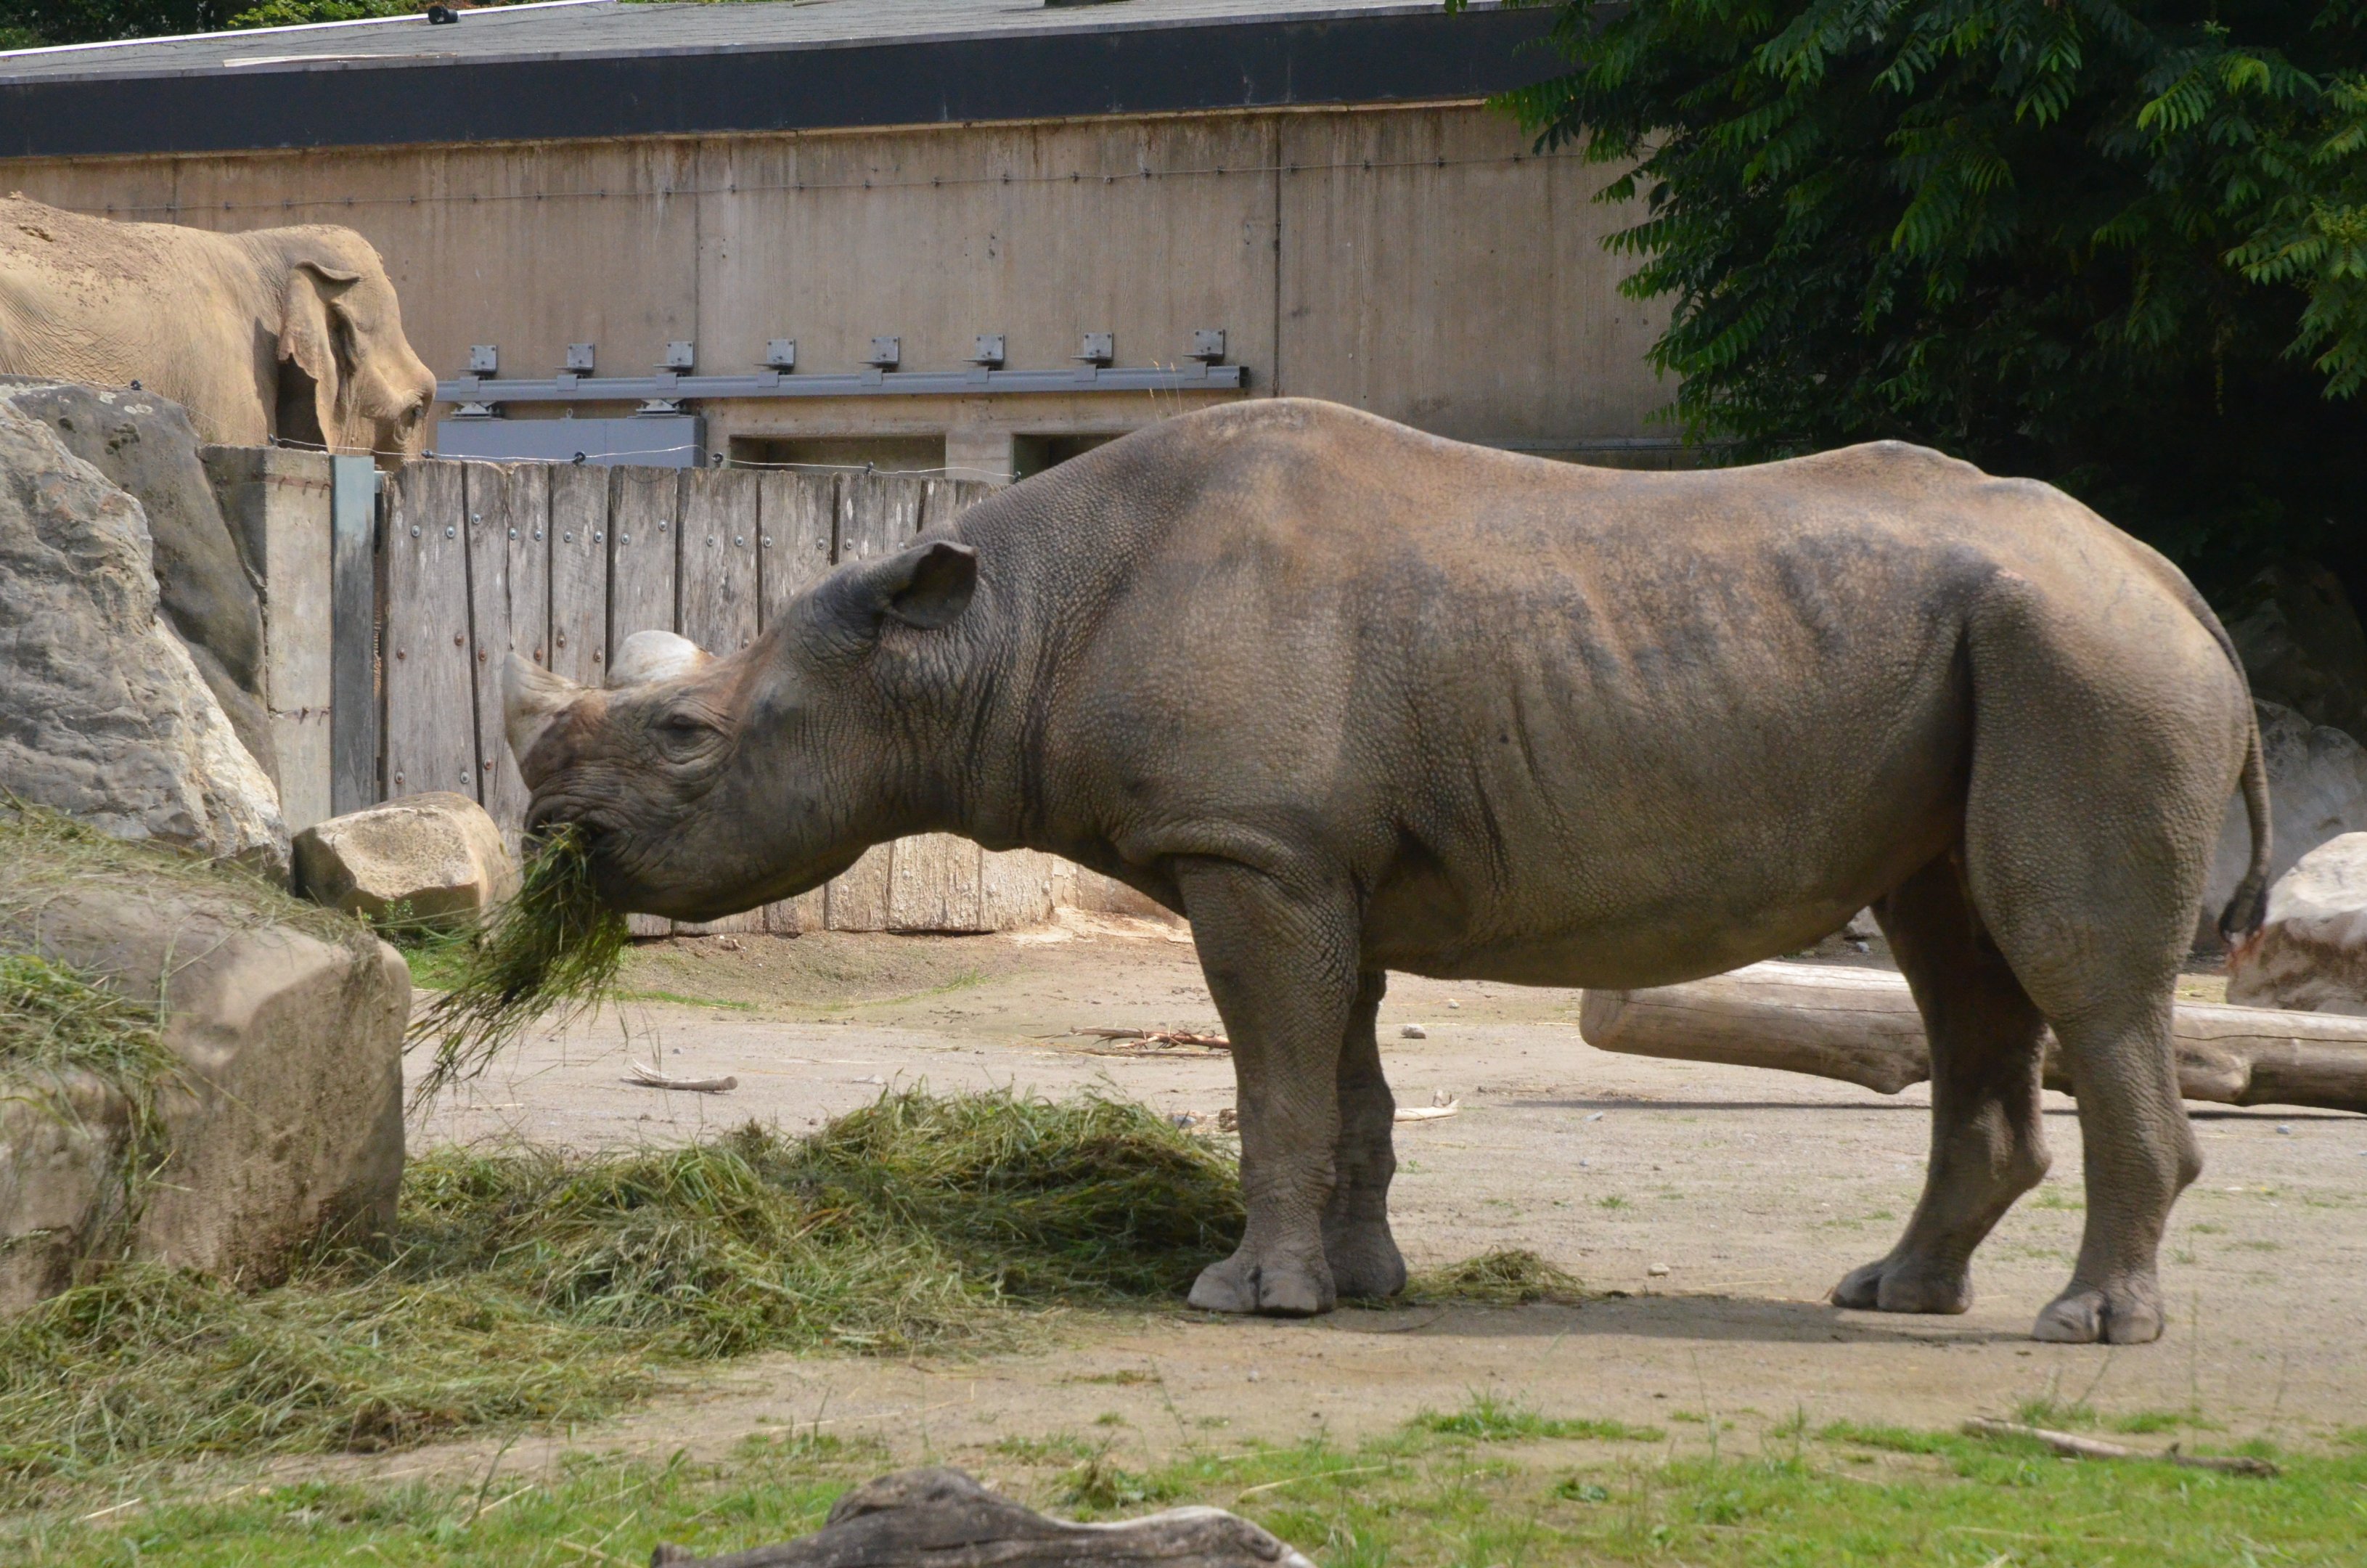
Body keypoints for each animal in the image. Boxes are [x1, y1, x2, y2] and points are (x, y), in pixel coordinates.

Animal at [508, 399, 2268, 1345]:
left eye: (682, 736)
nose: (545, 829)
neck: (987, 636)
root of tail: (2174, 582)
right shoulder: (1310, 860)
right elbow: (1340, 1076)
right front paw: (1358, 1287)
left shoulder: (1250, 848)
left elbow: (1272, 1077)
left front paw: (1242, 1299)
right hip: (2018, 658)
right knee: (1956, 957)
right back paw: (1890, 1296)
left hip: (2086, 668)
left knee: (2066, 965)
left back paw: (2084, 1330)